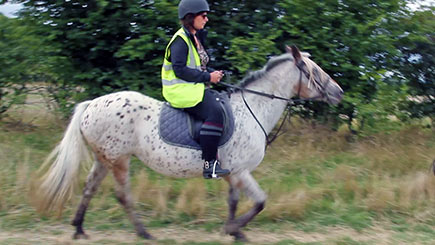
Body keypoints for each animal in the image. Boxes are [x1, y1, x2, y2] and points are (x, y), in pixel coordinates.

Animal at [35, 45, 344, 242]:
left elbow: (234, 201)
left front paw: (233, 230)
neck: (253, 108)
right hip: (119, 160)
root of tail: (91, 105)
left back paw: (79, 229)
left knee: (89, 188)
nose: (339, 92)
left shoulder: (233, 173)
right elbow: (260, 202)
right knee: (122, 195)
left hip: (104, 158)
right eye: (314, 71)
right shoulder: (241, 172)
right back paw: (143, 232)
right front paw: (234, 230)